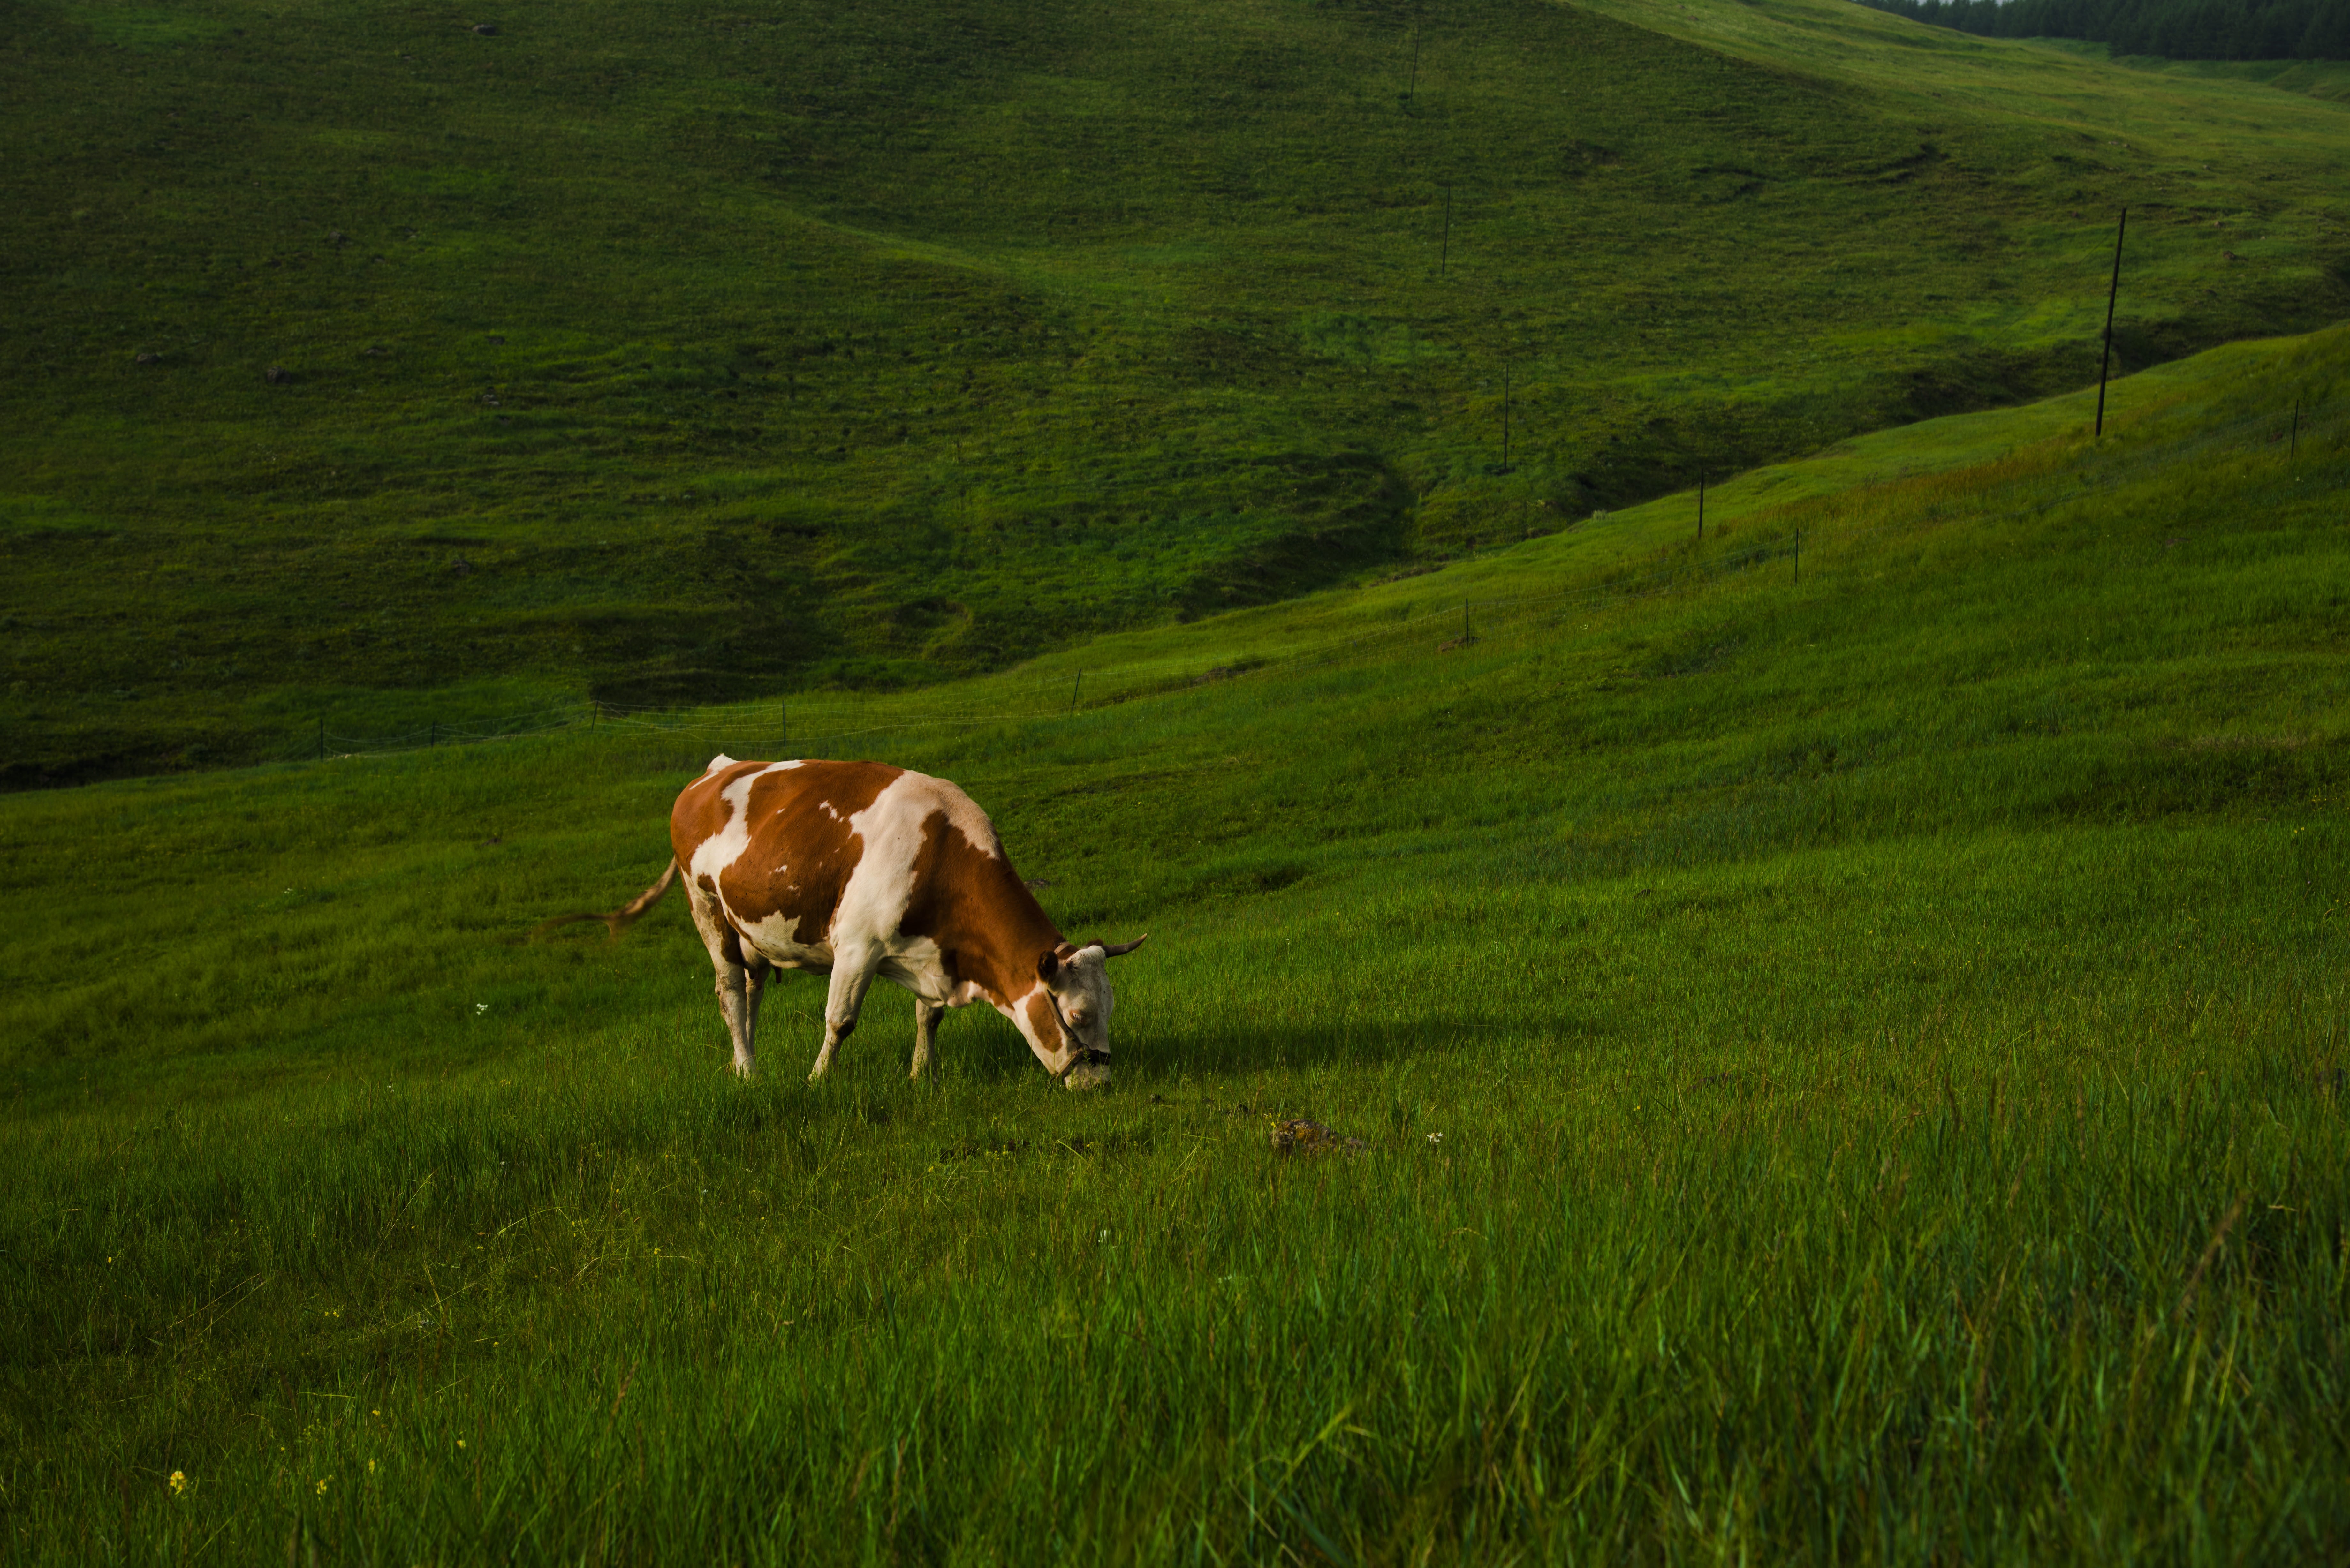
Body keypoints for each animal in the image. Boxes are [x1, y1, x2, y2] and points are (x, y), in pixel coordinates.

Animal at [546, 756, 1145, 1088]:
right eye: (1078, 1013)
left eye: (1111, 1008)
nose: (1102, 1081)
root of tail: (715, 771)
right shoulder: (859, 946)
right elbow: (840, 1021)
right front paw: (817, 1081)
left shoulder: (930, 952)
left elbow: (928, 1017)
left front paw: (920, 1074)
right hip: (707, 908)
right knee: (729, 991)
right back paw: (750, 1071)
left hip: (749, 926)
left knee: (751, 988)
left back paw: (745, 1062)